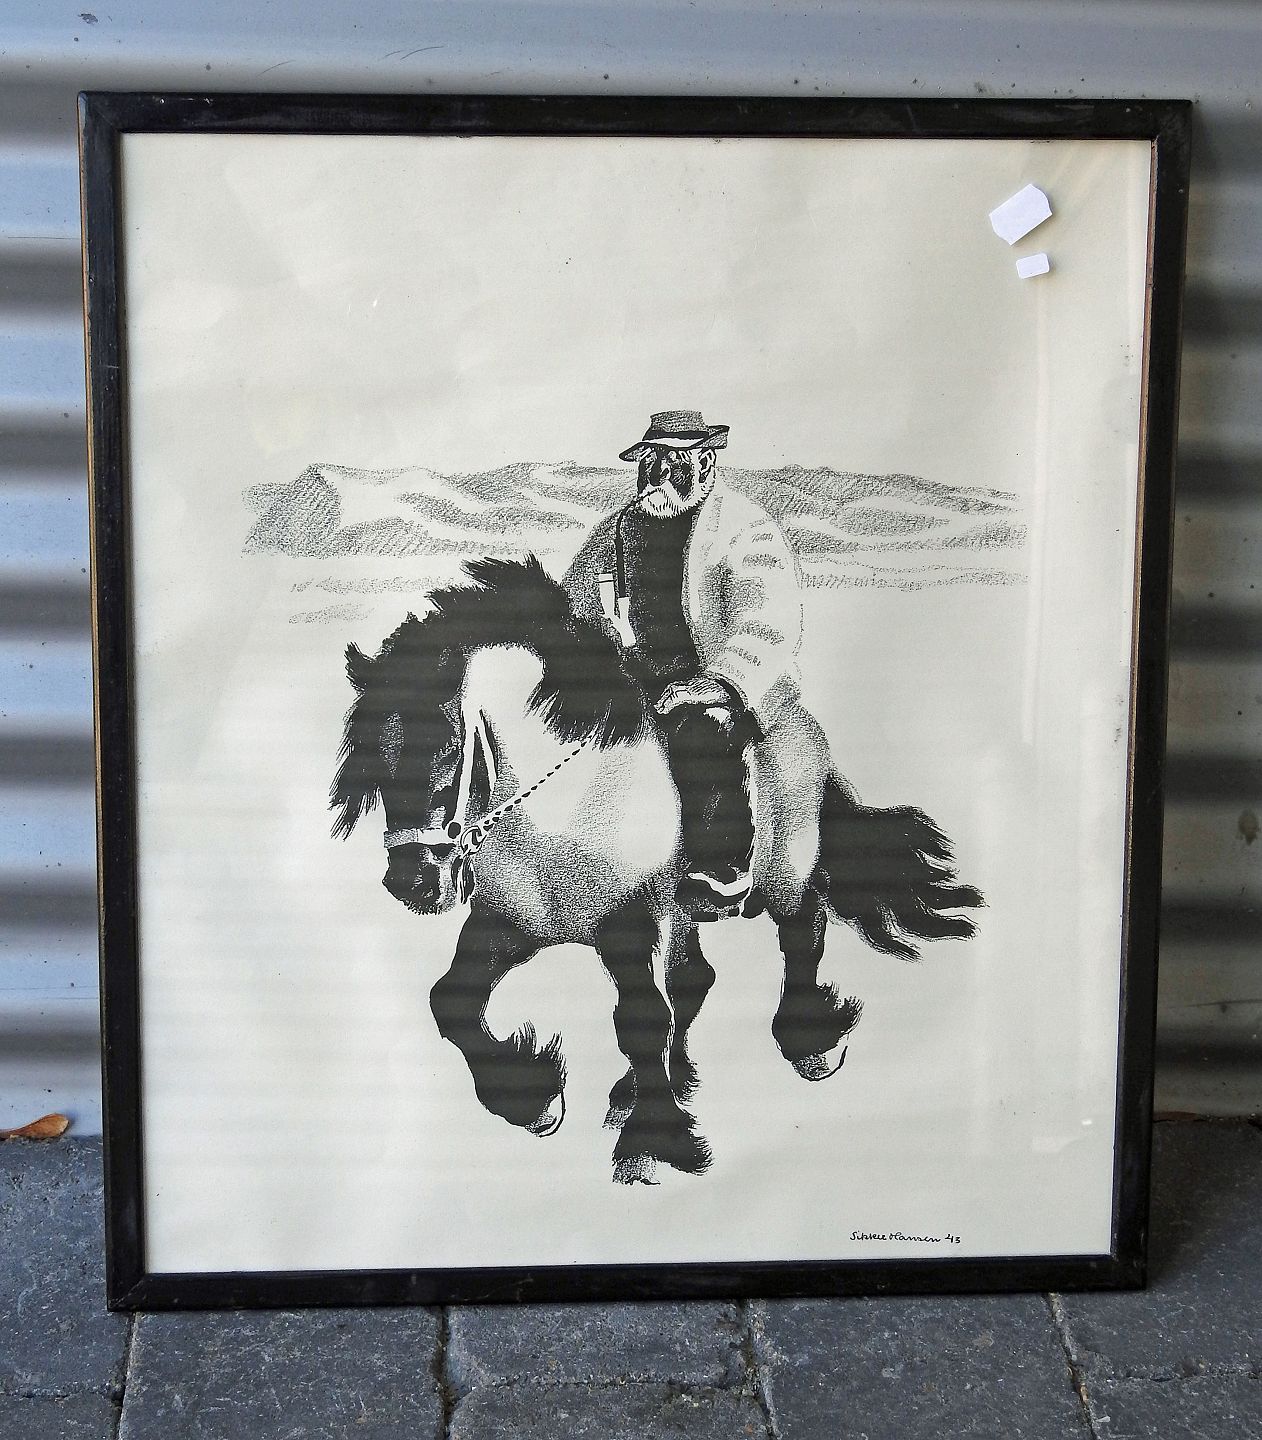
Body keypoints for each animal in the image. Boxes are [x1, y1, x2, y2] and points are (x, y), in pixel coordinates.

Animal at [331, 556, 982, 1184]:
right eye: (370, 765)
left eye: (443, 747)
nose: (412, 884)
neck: (566, 803)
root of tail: (801, 726)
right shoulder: (511, 923)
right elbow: (450, 1001)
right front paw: (532, 1099)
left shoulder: (628, 921)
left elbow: (641, 1020)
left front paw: (655, 1143)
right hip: (686, 909)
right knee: (697, 978)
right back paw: (658, 1079)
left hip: (785, 867)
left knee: (803, 927)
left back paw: (808, 1044)